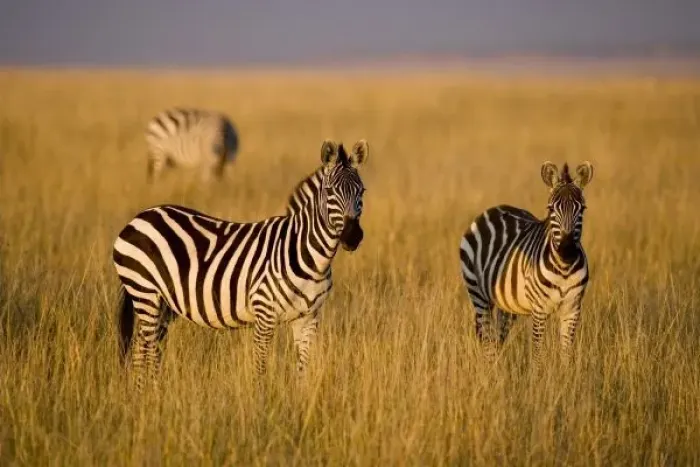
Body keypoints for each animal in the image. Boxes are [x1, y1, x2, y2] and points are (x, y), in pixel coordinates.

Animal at [113, 139, 368, 391]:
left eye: (362, 191)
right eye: (329, 192)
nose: (352, 237)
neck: (309, 257)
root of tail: (140, 216)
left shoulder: (308, 318)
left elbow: (302, 372)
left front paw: (301, 400)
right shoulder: (264, 313)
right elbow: (260, 369)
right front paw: (261, 400)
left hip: (164, 304)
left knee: (150, 349)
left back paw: (154, 392)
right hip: (145, 293)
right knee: (142, 349)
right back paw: (142, 395)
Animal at [459, 161, 594, 371]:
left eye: (582, 209)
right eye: (551, 209)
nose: (567, 250)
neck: (564, 269)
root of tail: (494, 208)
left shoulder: (572, 309)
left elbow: (566, 353)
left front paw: (567, 377)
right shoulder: (539, 310)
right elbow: (538, 354)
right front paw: (538, 378)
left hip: (505, 304)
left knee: (497, 339)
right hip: (478, 294)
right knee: (488, 341)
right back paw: (489, 372)